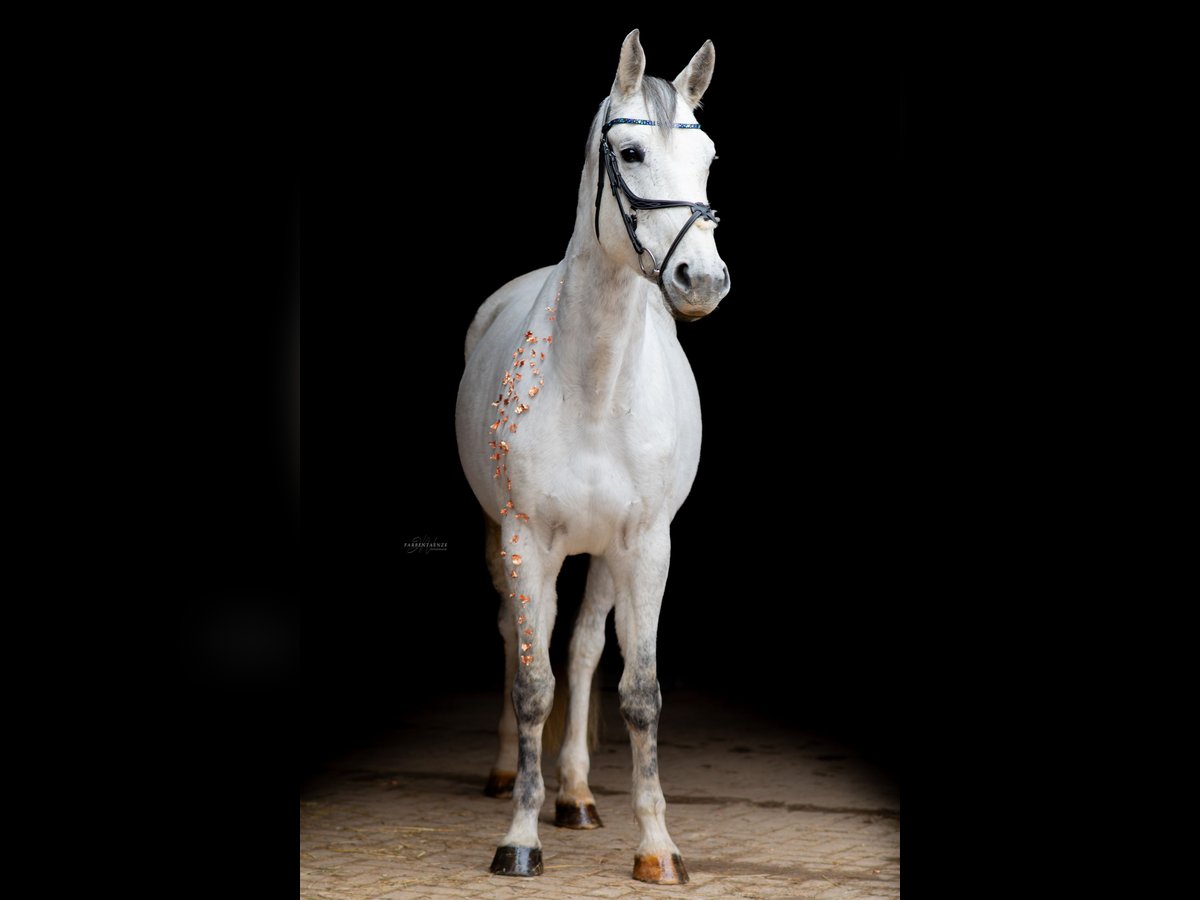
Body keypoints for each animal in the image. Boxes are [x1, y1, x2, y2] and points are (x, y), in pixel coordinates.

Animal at [454, 29, 729, 885]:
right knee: (521, 640)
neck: (595, 388)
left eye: (707, 157)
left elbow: (636, 690)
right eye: (632, 152)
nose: (703, 280)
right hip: (509, 545)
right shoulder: (523, 540)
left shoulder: (646, 546)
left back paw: (575, 794)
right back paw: (512, 775)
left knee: (579, 650)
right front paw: (519, 837)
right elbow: (531, 686)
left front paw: (658, 848)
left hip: (606, 553)